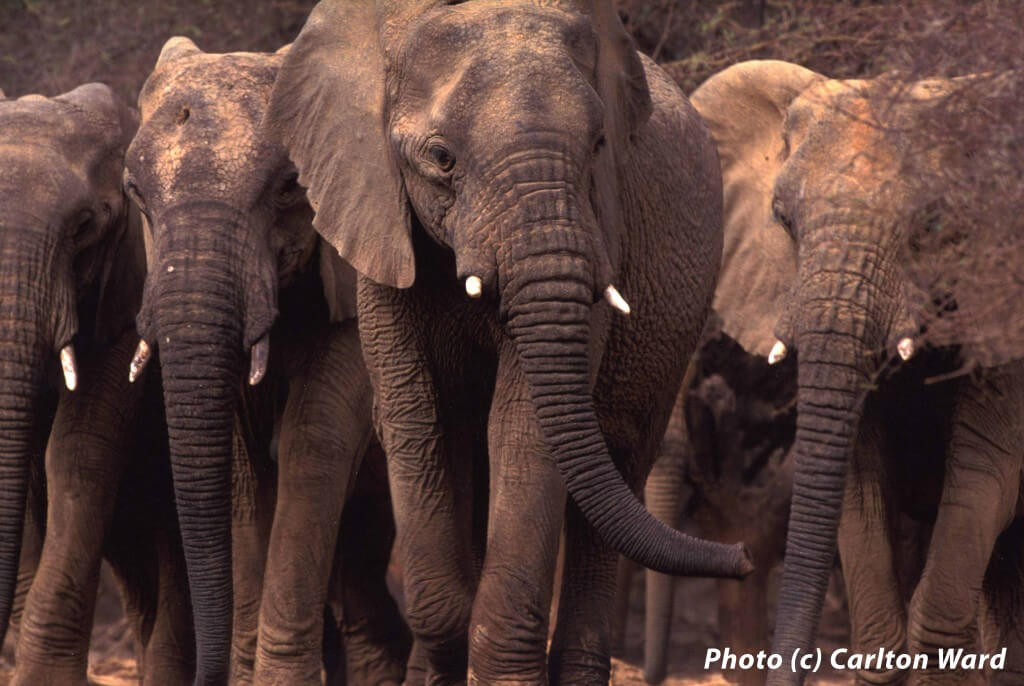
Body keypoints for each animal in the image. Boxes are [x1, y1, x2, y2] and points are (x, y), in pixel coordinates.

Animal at [266, 2, 753, 683]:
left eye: (598, 146)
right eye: (440, 157)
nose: (743, 556)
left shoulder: (599, 235)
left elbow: (523, 430)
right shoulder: (380, 234)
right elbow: (419, 420)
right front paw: (449, 639)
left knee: (620, 462)